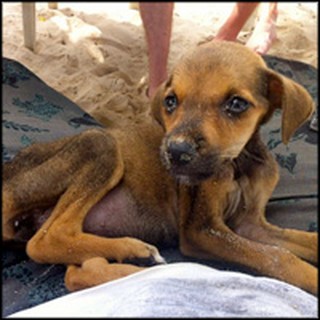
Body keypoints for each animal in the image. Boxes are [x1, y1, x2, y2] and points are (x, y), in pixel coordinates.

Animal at [2, 42, 318, 296]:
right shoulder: (200, 229)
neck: (239, 163)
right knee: (47, 240)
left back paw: (136, 266)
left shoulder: (250, 224)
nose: (176, 152)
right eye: (171, 101)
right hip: (99, 144)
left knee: (76, 272)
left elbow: (294, 243)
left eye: (237, 104)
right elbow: (277, 256)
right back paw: (135, 252)